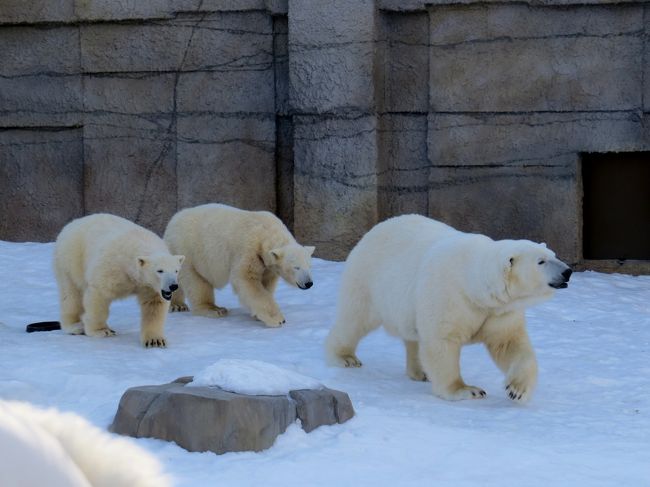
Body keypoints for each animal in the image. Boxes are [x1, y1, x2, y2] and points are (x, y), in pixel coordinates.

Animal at [54, 215, 184, 348]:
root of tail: (72, 224)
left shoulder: (149, 286)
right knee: (71, 294)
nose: (173, 286)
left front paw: (155, 340)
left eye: (176, 270)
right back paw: (75, 326)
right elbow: (99, 293)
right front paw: (102, 331)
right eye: (160, 271)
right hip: (70, 260)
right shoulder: (113, 268)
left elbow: (153, 305)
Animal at [162, 203, 314, 328]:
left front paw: (257, 315)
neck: (266, 231)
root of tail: (172, 221)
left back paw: (177, 305)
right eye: (296, 267)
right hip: (187, 250)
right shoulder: (249, 250)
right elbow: (247, 281)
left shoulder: (266, 265)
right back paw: (214, 309)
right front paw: (276, 319)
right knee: (195, 281)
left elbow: (266, 283)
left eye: (309, 266)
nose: (309, 283)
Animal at [324, 215, 568, 402]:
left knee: (413, 335)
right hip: (368, 279)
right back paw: (344, 357)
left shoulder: (499, 311)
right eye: (541, 261)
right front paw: (467, 390)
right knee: (355, 318)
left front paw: (516, 389)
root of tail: (376, 228)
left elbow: (509, 344)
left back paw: (420, 371)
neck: (475, 286)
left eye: (554, 255)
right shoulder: (449, 295)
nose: (567, 271)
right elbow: (442, 341)